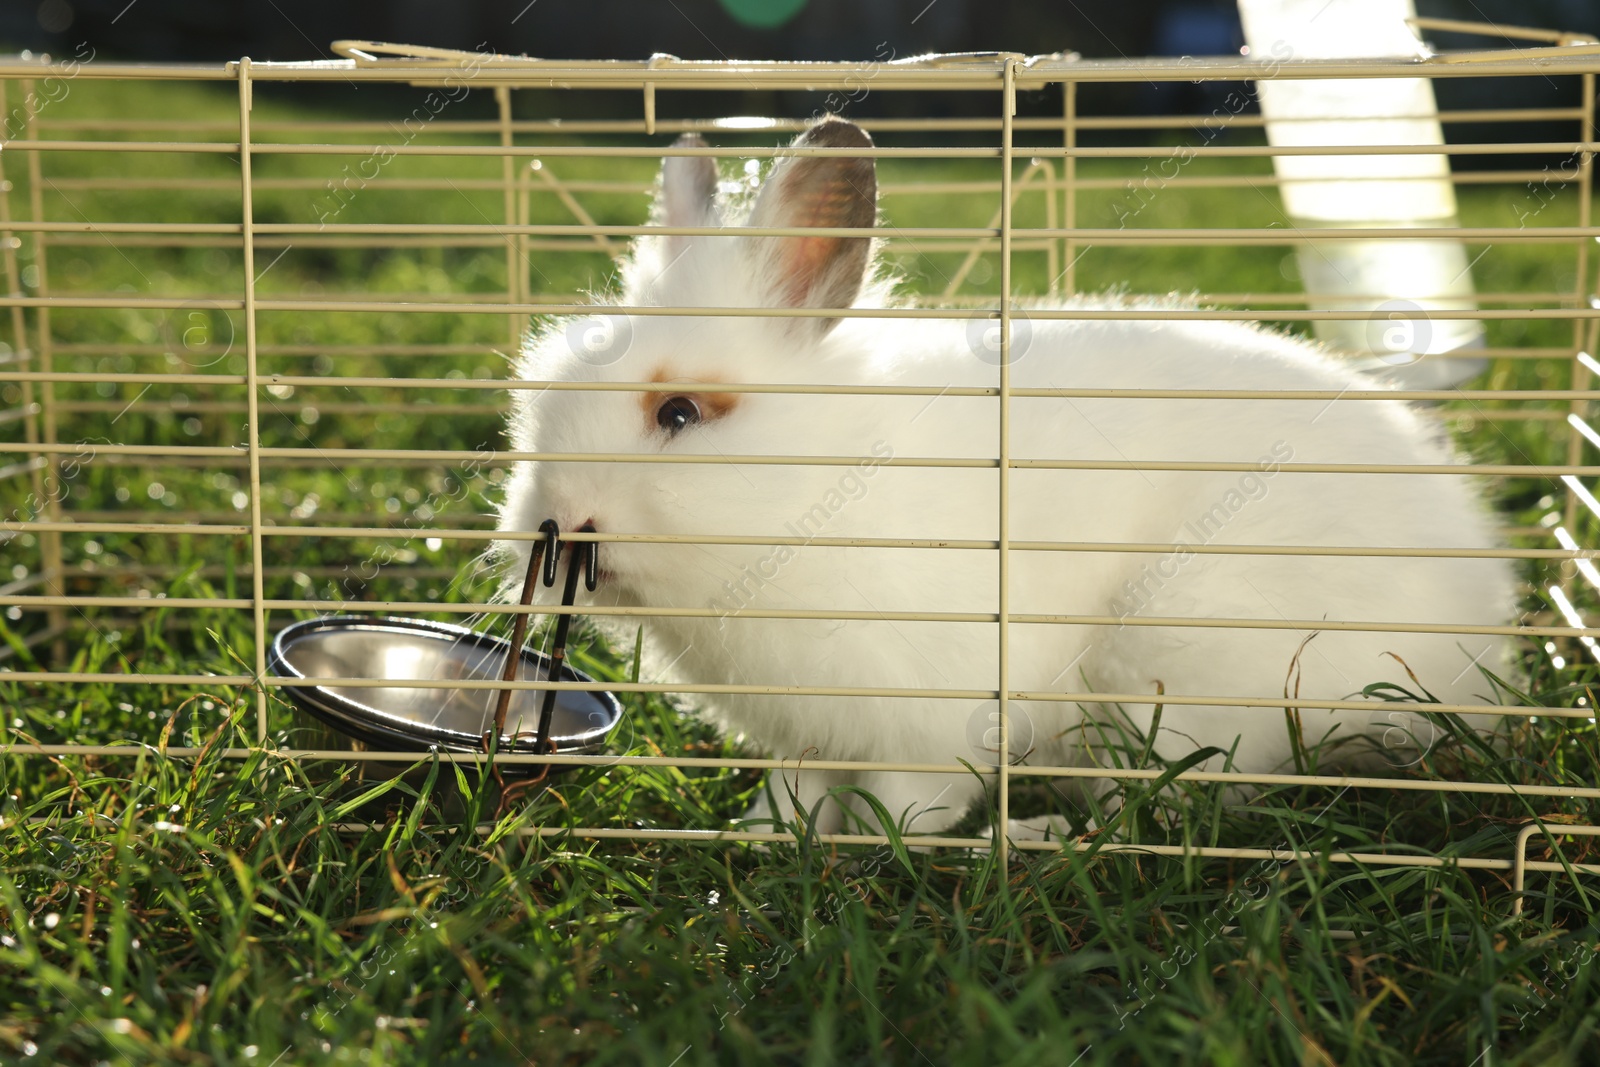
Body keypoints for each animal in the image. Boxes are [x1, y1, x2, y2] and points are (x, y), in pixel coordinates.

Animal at [492, 116, 1516, 831]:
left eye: (677, 413)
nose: (555, 520)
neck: (816, 496)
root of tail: (1482, 637)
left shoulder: (933, 713)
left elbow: (917, 796)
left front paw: (881, 840)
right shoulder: (810, 731)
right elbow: (800, 789)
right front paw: (766, 833)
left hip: (1181, 672)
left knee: (1179, 798)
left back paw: (1044, 835)